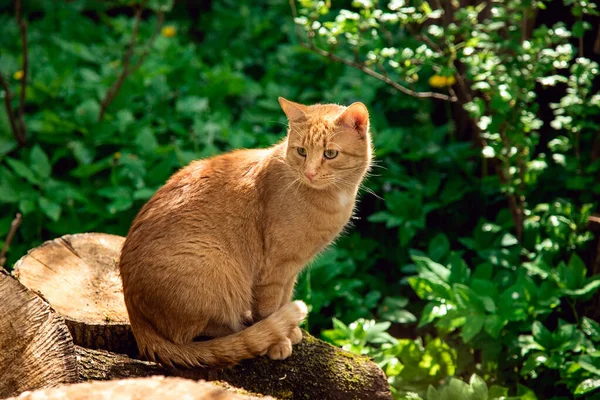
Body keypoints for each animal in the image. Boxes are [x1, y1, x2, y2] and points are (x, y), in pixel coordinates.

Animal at [118, 98, 372, 368]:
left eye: (330, 154)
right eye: (302, 151)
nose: (310, 173)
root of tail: (136, 318)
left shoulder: (291, 268)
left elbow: (284, 298)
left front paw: (290, 331)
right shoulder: (274, 268)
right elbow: (270, 308)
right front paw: (277, 341)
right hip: (216, 266)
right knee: (189, 335)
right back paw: (241, 329)